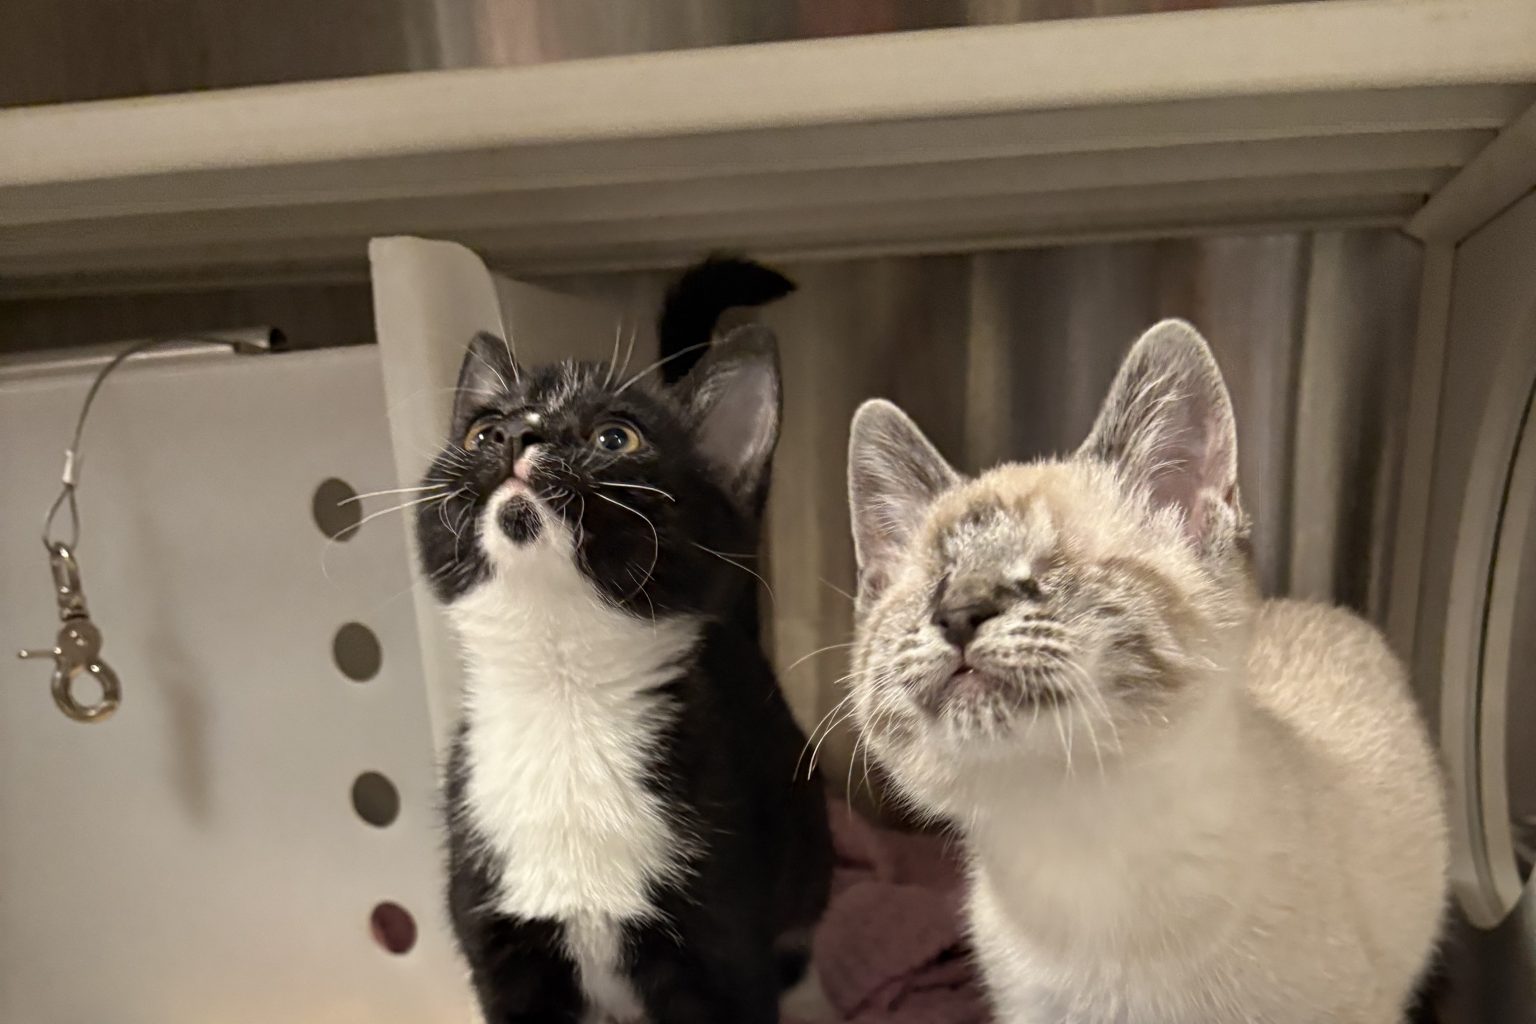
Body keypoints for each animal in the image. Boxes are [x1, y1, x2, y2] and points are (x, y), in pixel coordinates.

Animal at [415, 258, 831, 1024]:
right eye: (481, 432)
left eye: (616, 439)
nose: (517, 436)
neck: (563, 702)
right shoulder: (501, 948)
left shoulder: (721, 945)